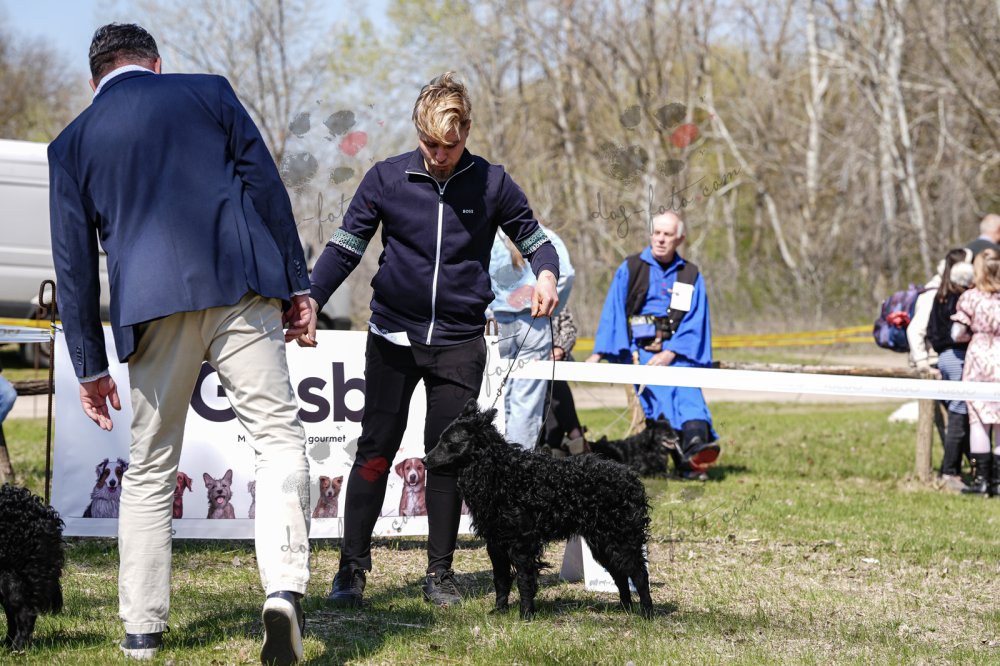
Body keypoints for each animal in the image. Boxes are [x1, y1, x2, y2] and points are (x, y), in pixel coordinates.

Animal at [425, 400, 653, 620]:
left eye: (449, 442)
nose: (425, 460)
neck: (501, 472)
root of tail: (632, 478)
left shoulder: (522, 543)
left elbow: (524, 581)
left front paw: (526, 614)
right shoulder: (495, 543)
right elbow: (500, 579)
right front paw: (499, 610)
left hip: (621, 538)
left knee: (640, 574)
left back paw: (647, 613)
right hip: (602, 543)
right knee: (621, 575)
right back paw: (626, 608)